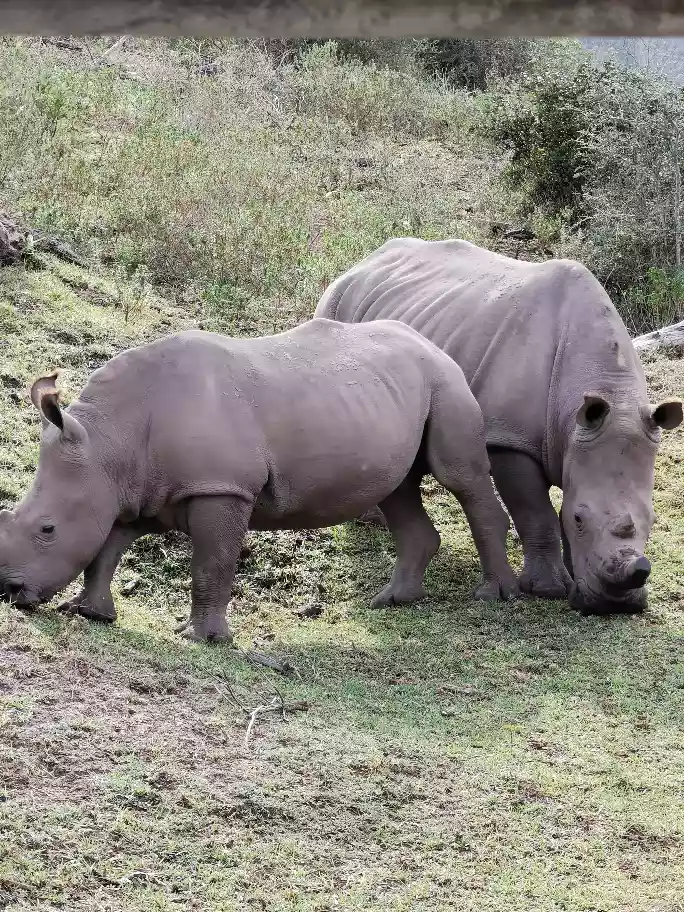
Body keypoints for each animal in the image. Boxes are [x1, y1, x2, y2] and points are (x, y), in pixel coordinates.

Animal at [0, 318, 519, 641]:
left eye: (47, 529)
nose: (9, 592)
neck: (109, 440)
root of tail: (434, 345)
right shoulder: (139, 489)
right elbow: (107, 547)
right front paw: (89, 612)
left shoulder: (221, 488)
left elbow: (211, 564)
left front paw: (202, 638)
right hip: (392, 394)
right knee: (399, 490)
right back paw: (392, 601)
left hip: (447, 383)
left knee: (461, 478)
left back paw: (495, 595)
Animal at [315, 238, 683, 614]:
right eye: (580, 520)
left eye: (653, 520)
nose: (616, 605)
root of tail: (363, 261)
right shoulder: (509, 438)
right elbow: (535, 512)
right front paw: (547, 589)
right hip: (337, 309)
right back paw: (370, 521)